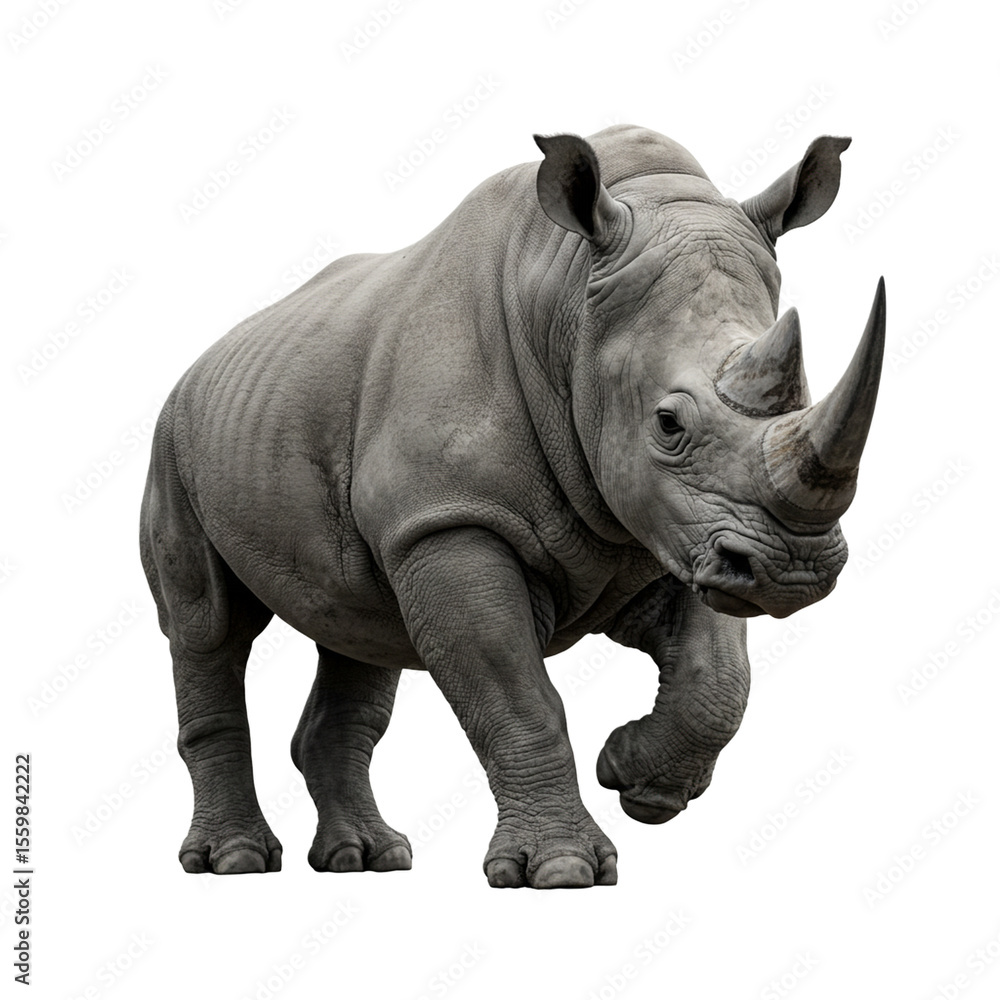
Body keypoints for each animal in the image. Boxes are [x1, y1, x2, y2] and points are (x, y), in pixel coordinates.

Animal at [140, 124, 885, 889]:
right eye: (668, 423)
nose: (792, 571)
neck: (569, 300)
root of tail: (204, 358)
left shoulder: (678, 529)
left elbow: (719, 679)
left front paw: (637, 779)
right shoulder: (449, 519)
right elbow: (518, 696)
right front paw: (561, 870)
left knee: (356, 629)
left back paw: (366, 860)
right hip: (173, 439)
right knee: (208, 626)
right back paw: (234, 862)